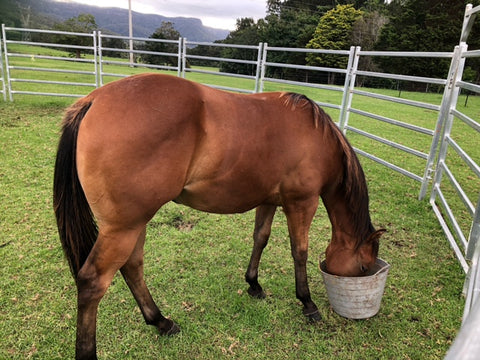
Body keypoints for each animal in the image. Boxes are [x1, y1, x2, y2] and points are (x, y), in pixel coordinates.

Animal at [53, 72, 382, 358]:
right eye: (364, 268)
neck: (316, 137)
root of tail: (94, 99)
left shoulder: (268, 200)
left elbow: (260, 238)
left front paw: (253, 284)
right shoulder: (302, 202)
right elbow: (299, 251)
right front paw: (308, 303)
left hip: (133, 224)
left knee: (132, 267)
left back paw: (161, 321)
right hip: (123, 227)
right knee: (93, 282)